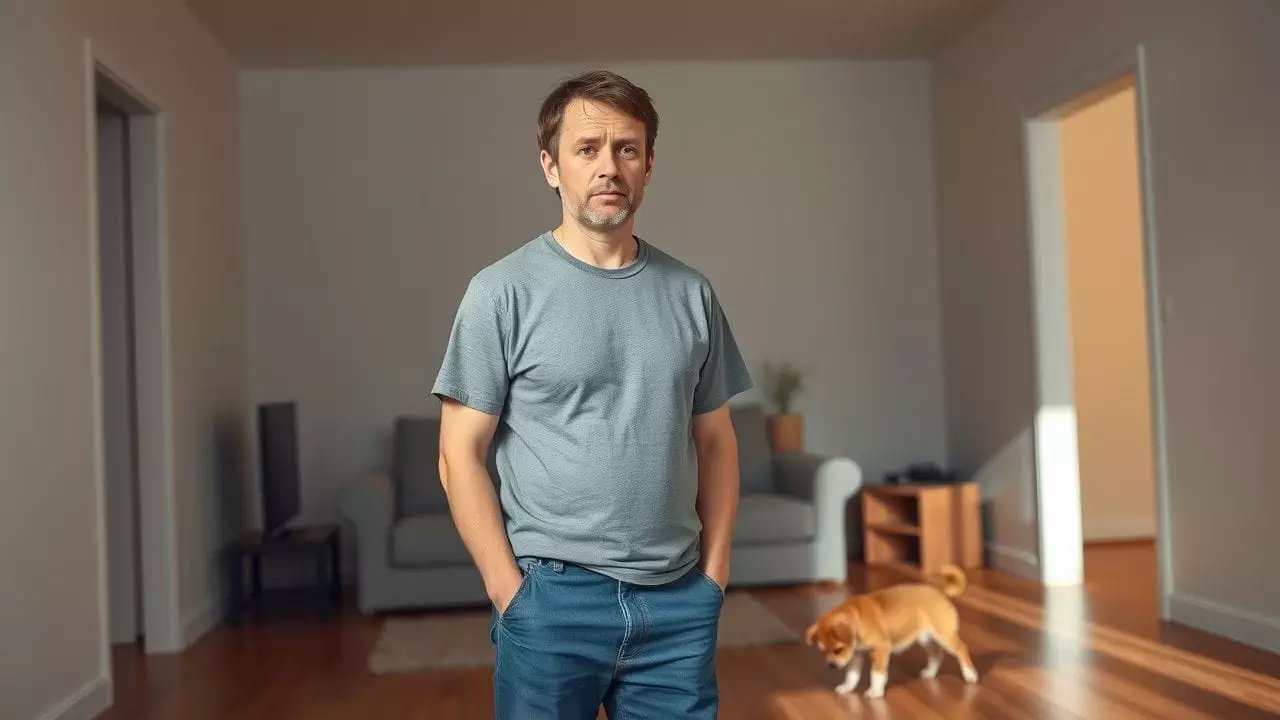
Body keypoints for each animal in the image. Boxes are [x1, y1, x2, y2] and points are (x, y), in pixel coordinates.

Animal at [798, 563, 977, 696]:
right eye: (823, 651)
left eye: (838, 650)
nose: (832, 666)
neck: (857, 619)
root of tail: (939, 592)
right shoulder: (856, 655)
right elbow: (852, 675)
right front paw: (847, 687)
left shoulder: (881, 649)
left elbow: (877, 673)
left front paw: (875, 691)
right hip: (925, 638)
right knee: (936, 654)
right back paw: (930, 673)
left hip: (944, 636)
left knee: (961, 649)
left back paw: (970, 675)